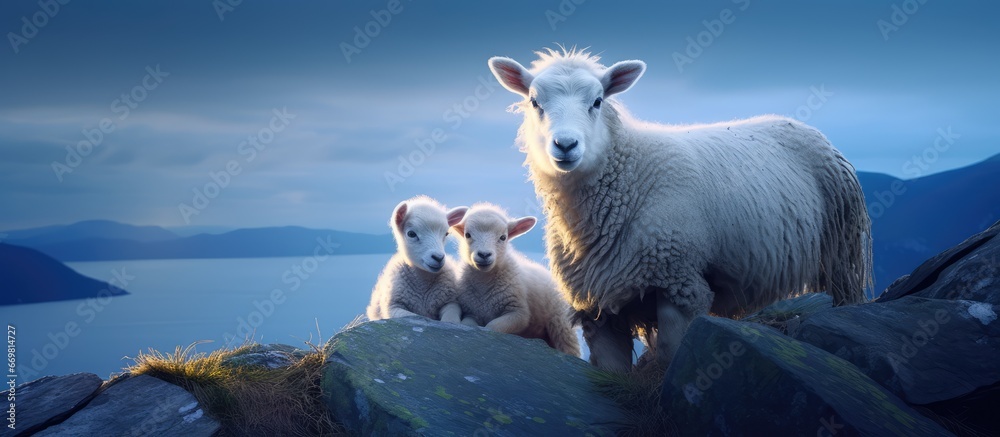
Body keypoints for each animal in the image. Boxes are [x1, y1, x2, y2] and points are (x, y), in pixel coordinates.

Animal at [452, 203, 584, 356]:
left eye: (503, 237)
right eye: (467, 235)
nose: (484, 255)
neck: (483, 283)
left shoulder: (518, 313)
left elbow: (492, 326)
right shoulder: (472, 312)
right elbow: (467, 325)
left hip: (561, 325)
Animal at [488, 48, 872, 372]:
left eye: (597, 101)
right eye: (534, 101)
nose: (566, 145)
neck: (628, 177)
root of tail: (806, 127)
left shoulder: (679, 282)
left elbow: (672, 355)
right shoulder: (598, 307)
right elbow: (612, 370)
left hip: (840, 253)